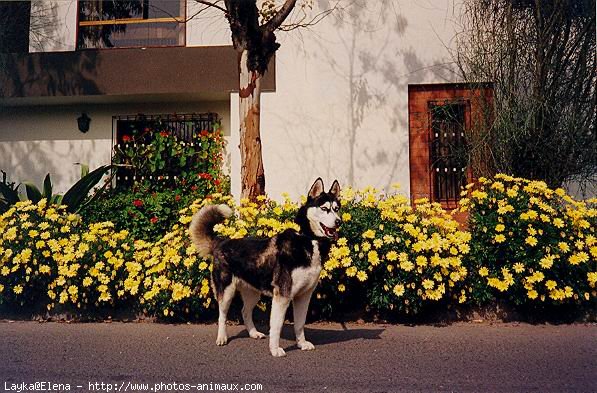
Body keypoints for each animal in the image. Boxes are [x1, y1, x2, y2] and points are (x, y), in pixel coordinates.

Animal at [190, 178, 340, 356]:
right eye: (324, 208)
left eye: (337, 209)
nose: (339, 221)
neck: (308, 240)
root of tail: (222, 241)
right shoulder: (282, 296)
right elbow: (276, 326)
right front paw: (275, 349)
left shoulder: (304, 296)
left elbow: (300, 324)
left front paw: (301, 343)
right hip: (226, 292)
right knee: (222, 315)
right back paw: (222, 337)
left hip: (253, 293)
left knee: (245, 311)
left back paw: (253, 333)